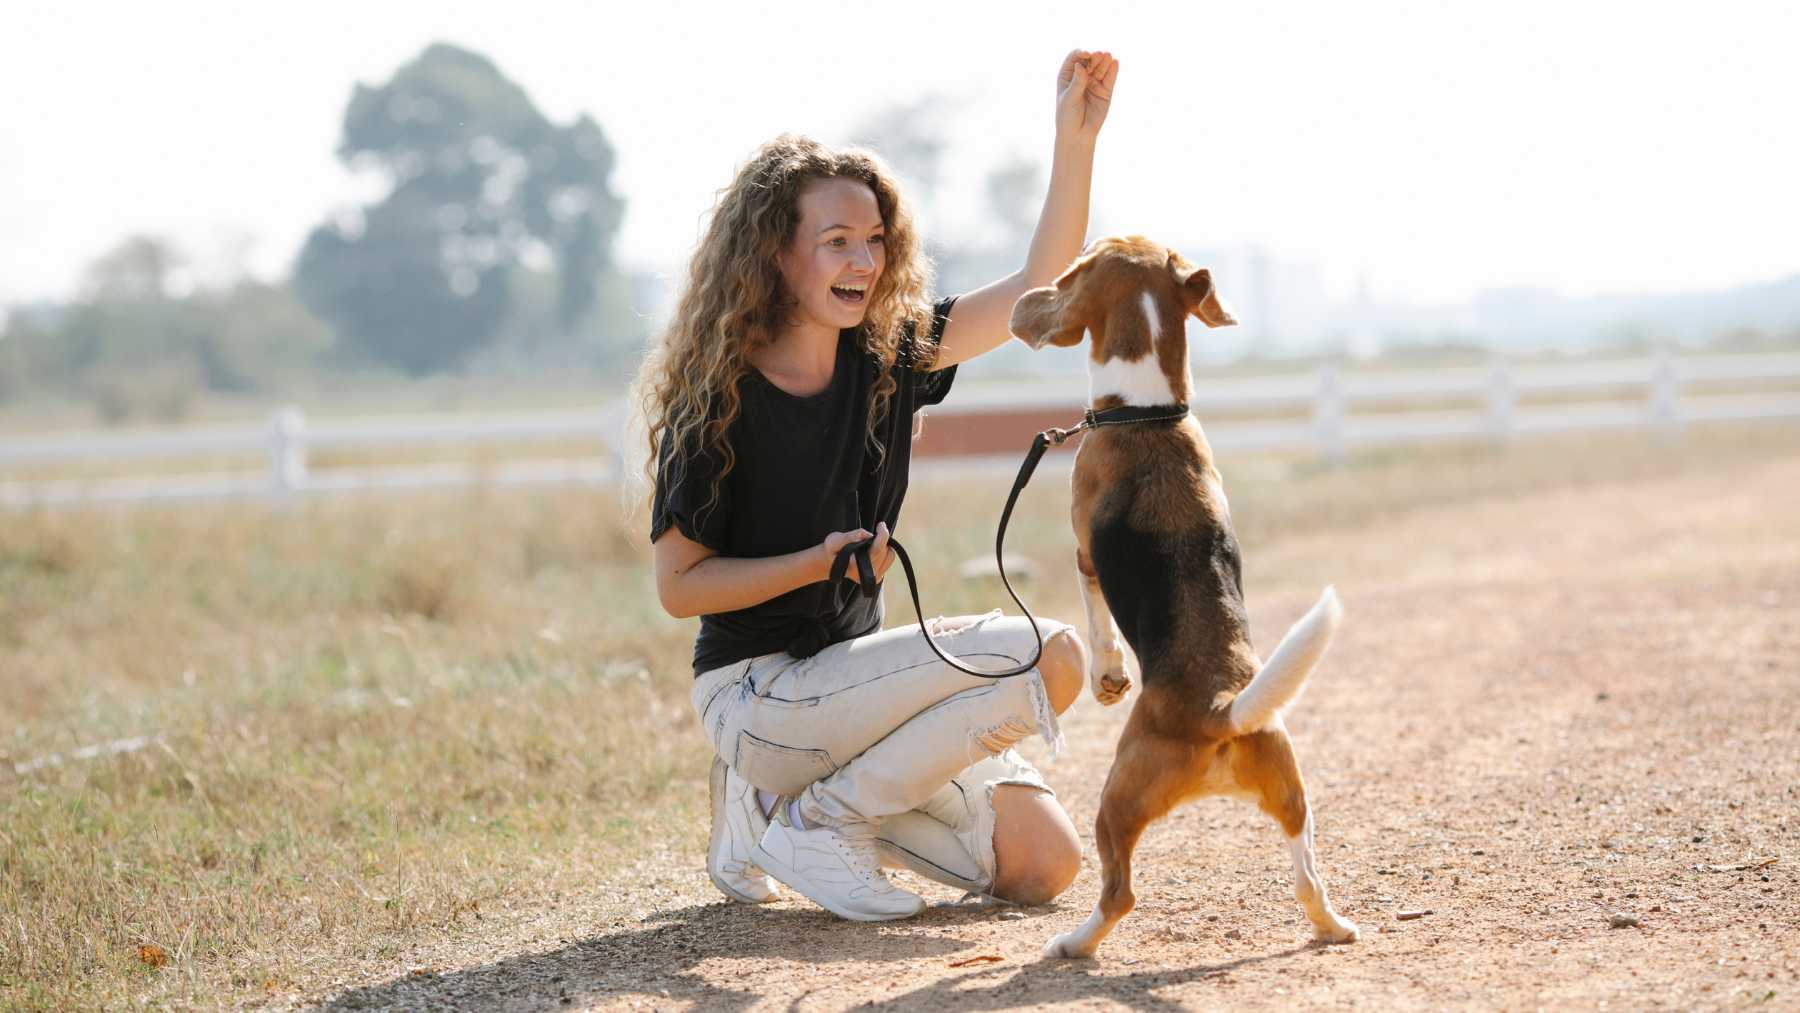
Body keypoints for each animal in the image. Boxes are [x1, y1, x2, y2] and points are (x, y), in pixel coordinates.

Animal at [1008, 235, 1353, 957]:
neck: (1148, 413)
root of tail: (1221, 709)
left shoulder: (1083, 551)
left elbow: (1097, 617)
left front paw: (1108, 676)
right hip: (1294, 794)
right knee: (1307, 877)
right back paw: (1334, 926)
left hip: (1115, 799)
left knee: (1119, 893)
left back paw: (1073, 943)